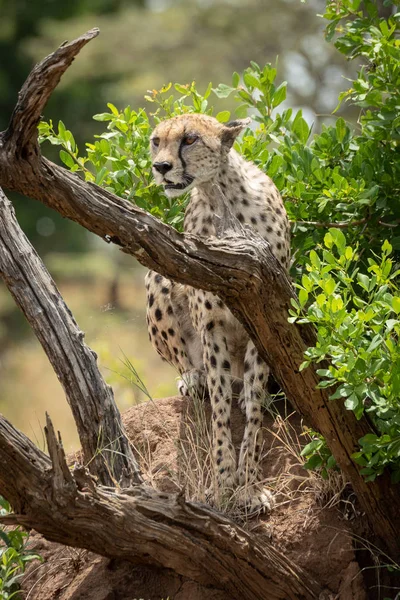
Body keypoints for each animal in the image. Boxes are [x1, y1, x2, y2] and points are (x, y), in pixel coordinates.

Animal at [145, 112, 290, 510]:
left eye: (190, 139)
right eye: (156, 141)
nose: (161, 167)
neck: (221, 195)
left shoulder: (263, 320)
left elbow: (251, 410)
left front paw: (249, 484)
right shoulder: (212, 326)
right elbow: (221, 408)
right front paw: (223, 480)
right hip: (159, 274)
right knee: (188, 362)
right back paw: (193, 377)